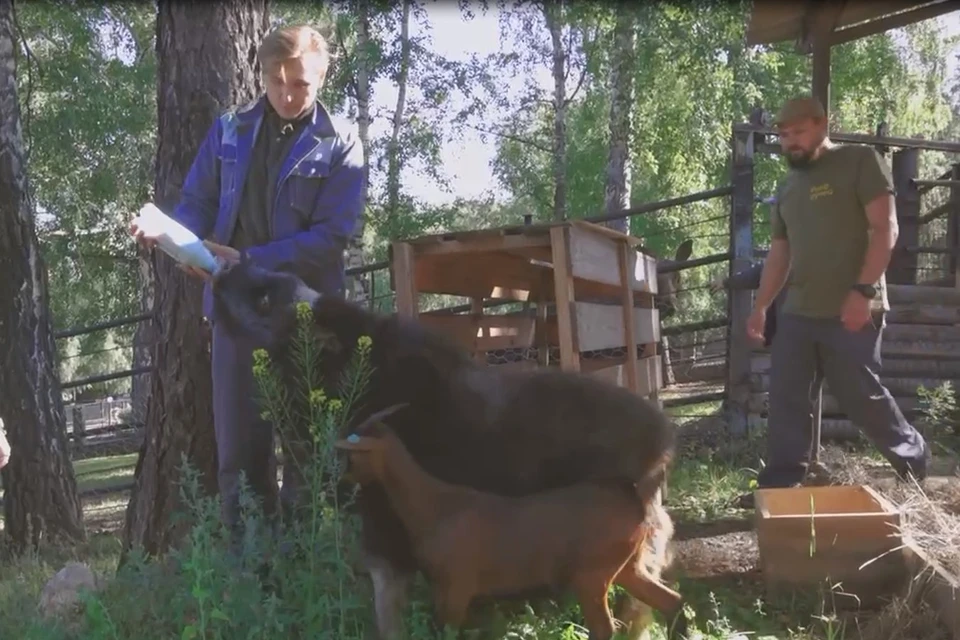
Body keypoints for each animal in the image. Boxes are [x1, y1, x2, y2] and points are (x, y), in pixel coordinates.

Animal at [334, 404, 688, 640]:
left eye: (354, 454)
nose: (341, 487)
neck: (434, 505)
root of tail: (635, 500)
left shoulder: (458, 584)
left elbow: (448, 631)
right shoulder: (442, 586)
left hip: (593, 574)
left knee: (605, 627)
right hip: (629, 566)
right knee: (671, 601)